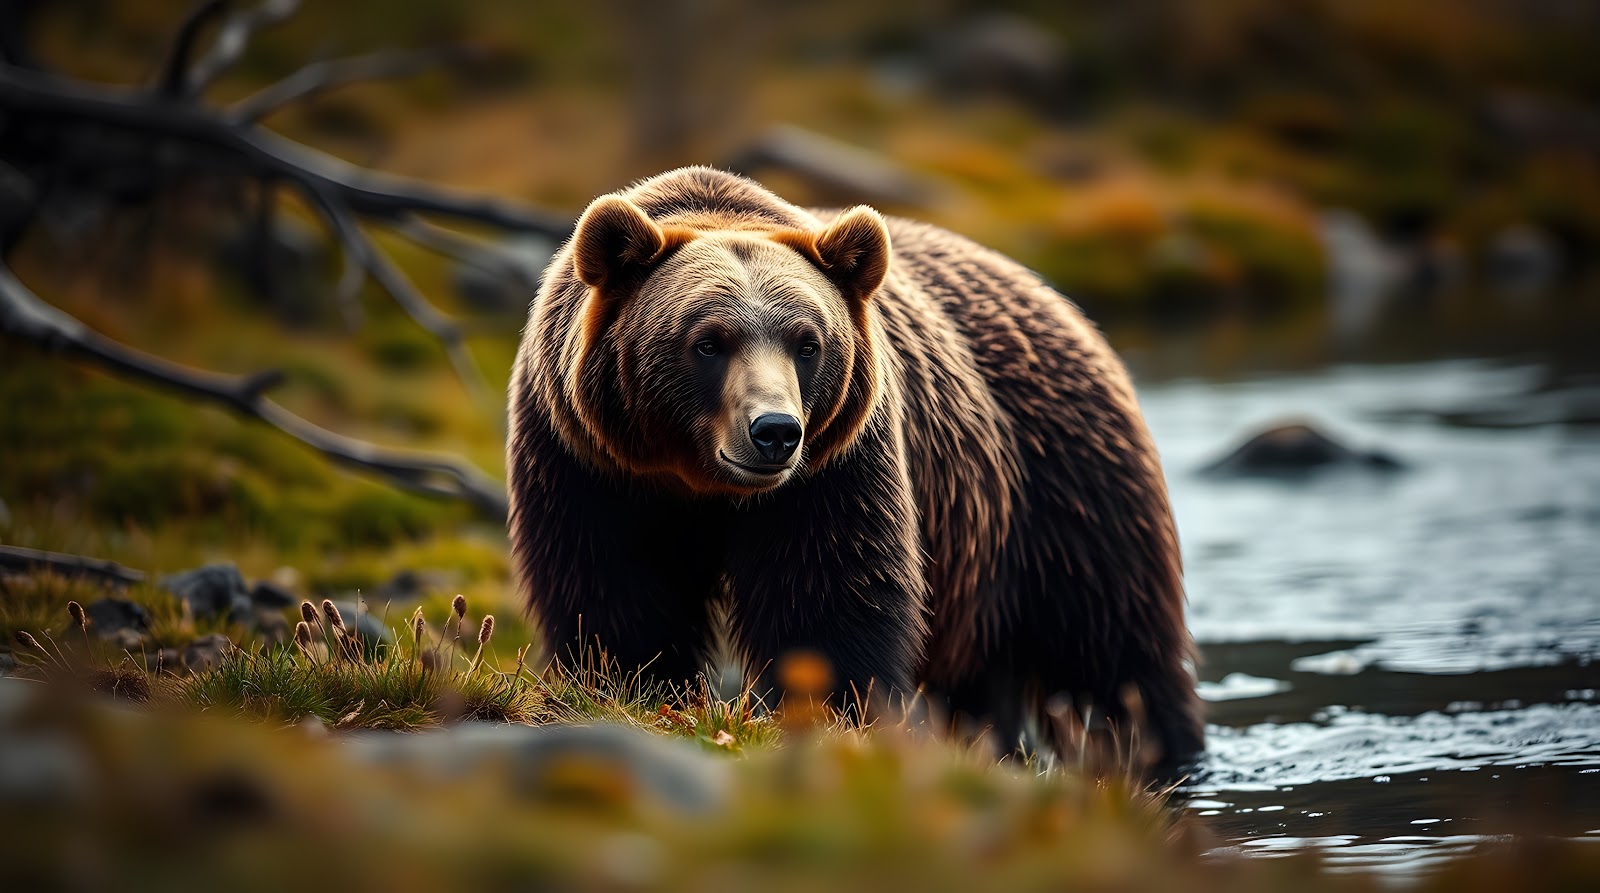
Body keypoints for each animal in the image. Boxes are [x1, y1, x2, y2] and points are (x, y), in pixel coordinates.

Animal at [507, 166, 1203, 766]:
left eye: (808, 343)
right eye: (706, 342)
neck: (696, 480)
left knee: (1111, 647)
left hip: (1061, 488)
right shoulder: (590, 466)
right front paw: (632, 689)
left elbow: (827, 595)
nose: (775, 432)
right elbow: (614, 592)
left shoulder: (834, 468)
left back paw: (1158, 748)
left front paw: (827, 715)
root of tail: (1053, 297)